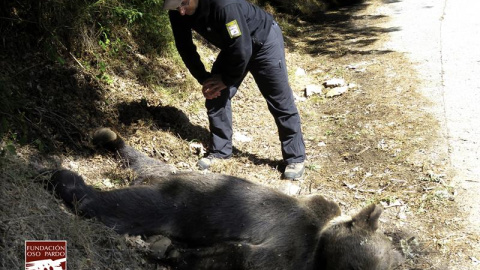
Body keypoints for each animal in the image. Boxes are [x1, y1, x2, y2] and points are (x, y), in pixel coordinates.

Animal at [48, 128, 404, 270]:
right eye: (362, 264)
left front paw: (174, 253)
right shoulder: (296, 238)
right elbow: (249, 257)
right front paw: (175, 255)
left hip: (161, 174)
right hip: (177, 202)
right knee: (120, 207)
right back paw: (62, 176)